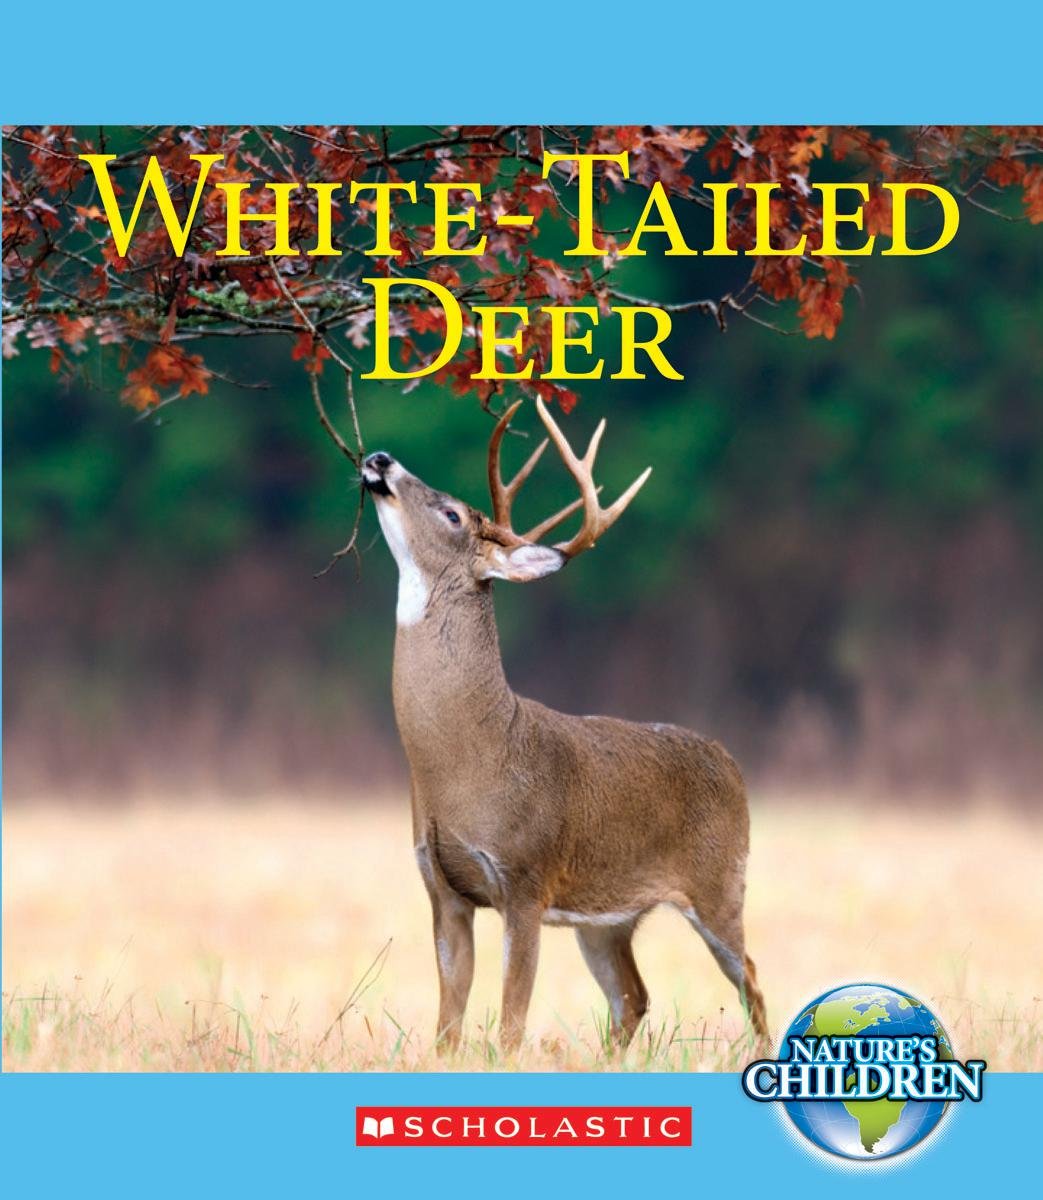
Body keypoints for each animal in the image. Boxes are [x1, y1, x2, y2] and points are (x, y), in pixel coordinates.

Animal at [361, 397, 768, 1054]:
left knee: (750, 978)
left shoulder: (527, 879)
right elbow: (448, 1023)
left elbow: (511, 1022)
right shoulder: (442, 887)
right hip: (607, 916)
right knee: (633, 996)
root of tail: (727, 758)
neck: (467, 760)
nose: (379, 458)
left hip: (721, 884)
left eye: (451, 514)